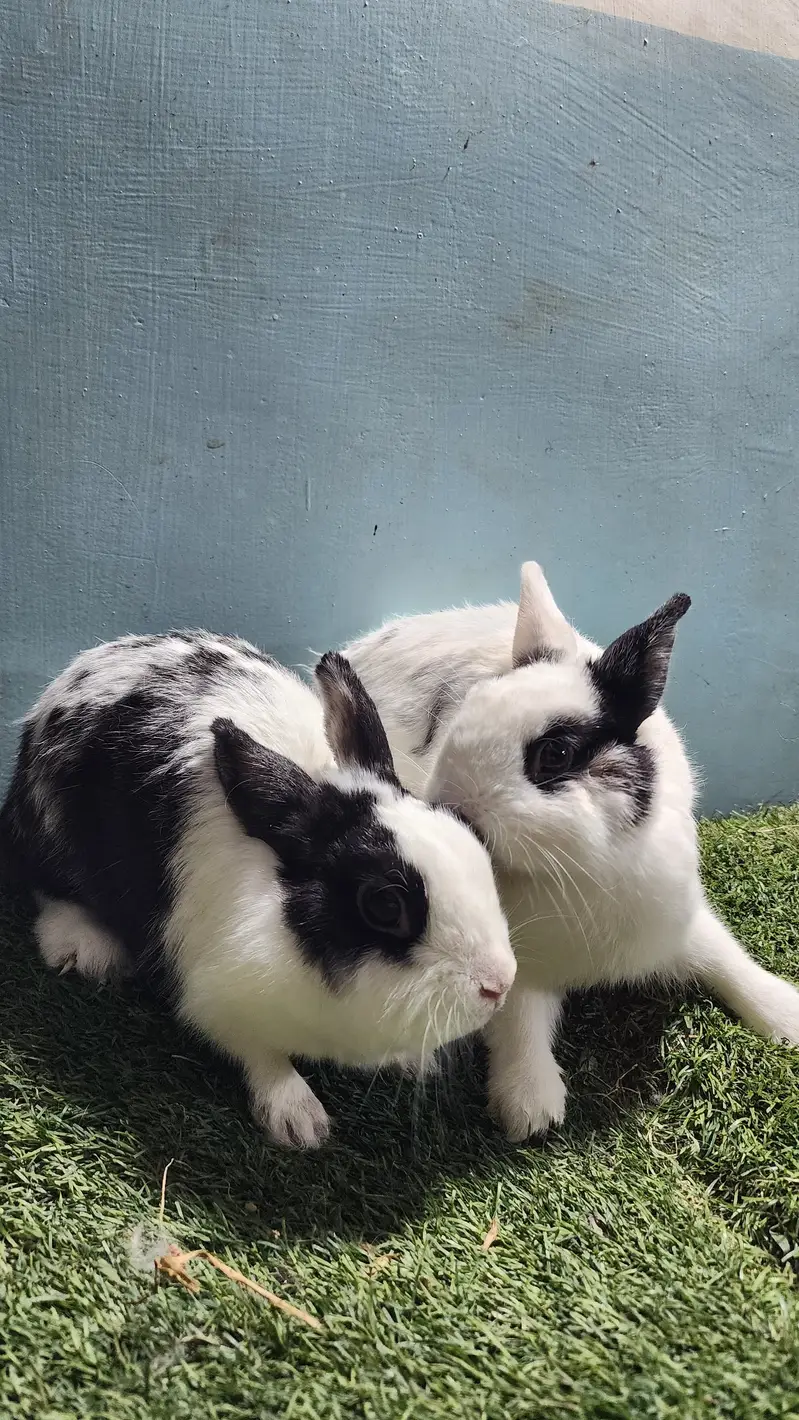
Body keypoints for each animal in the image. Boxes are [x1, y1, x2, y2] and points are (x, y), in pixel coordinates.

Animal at [0, 632, 517, 1147]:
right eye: (385, 904)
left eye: (469, 838)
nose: (499, 985)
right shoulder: (216, 1000)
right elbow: (261, 1056)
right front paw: (299, 1121)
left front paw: (414, 1062)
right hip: (52, 836)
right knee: (44, 886)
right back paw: (84, 949)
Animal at [343, 564, 799, 1140]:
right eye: (463, 716)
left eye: (555, 754)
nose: (453, 810)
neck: (578, 872)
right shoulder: (519, 969)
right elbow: (518, 1023)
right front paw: (530, 1107)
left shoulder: (680, 921)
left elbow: (726, 961)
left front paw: (787, 1018)